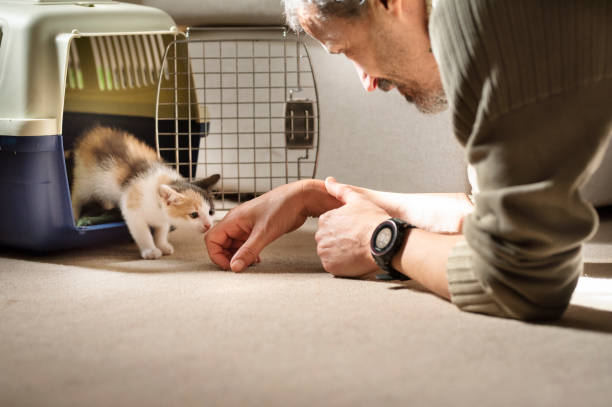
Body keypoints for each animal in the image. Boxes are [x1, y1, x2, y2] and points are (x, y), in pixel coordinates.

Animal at [71, 126, 220, 260]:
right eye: (194, 215)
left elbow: (162, 229)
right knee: (77, 197)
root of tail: (92, 133)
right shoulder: (132, 208)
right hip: (85, 180)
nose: (208, 225)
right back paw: (74, 216)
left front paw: (162, 245)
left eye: (211, 212)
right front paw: (150, 250)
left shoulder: (162, 217)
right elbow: (143, 232)